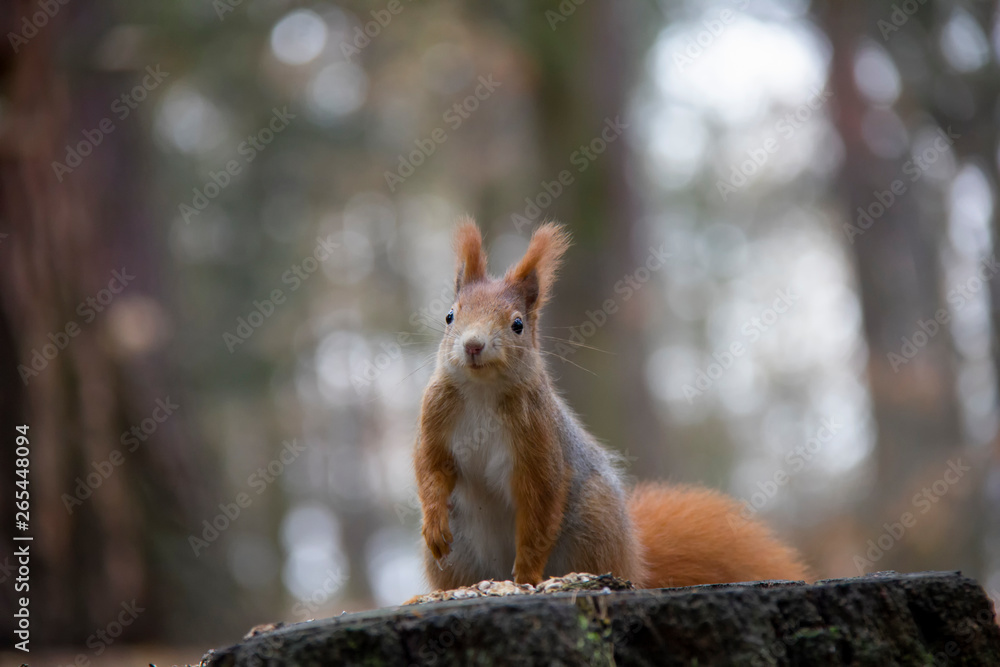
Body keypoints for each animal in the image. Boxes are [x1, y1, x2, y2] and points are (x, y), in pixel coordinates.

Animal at [414, 219, 809, 590]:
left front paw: (526, 574)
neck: (482, 391)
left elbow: (539, 510)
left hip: (594, 520)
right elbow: (430, 469)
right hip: (459, 557)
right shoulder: (435, 417)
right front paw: (434, 526)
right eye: (450, 316)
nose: (473, 345)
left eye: (518, 324)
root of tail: (634, 561)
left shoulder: (540, 445)